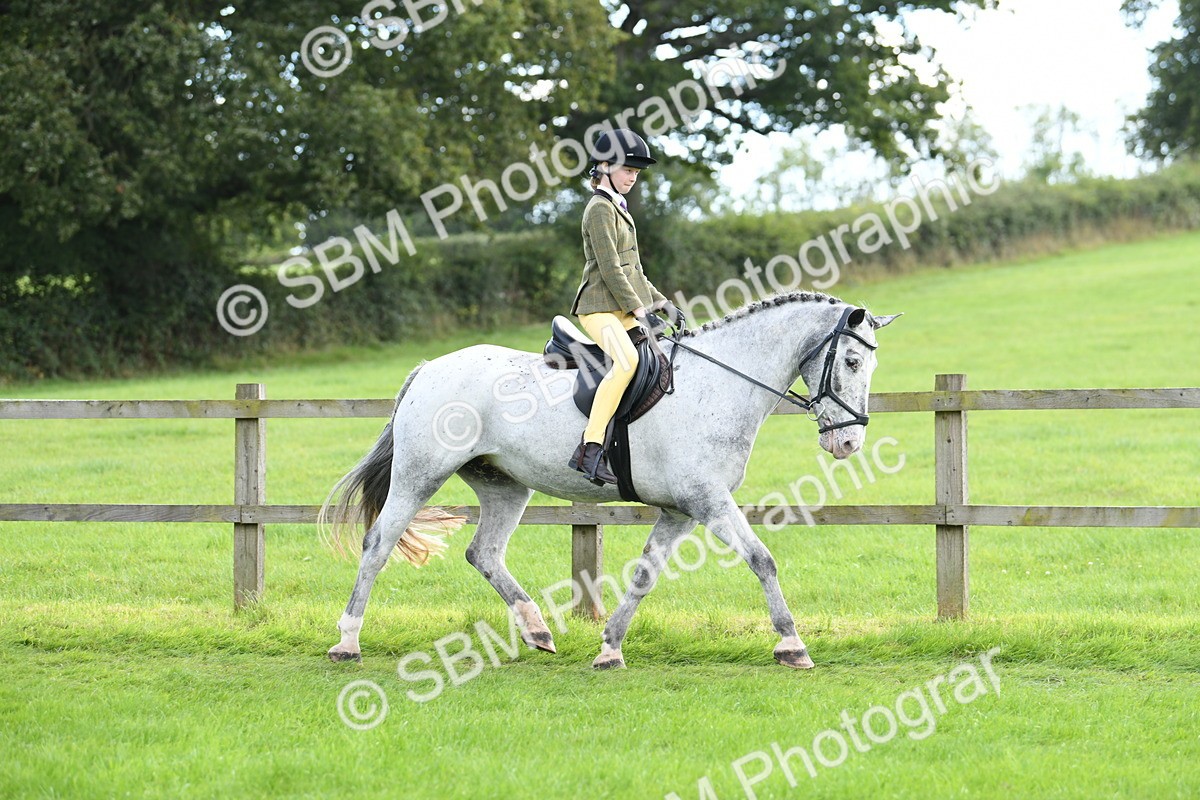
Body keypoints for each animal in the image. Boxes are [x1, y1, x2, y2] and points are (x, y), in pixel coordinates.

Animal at [320, 291, 899, 670]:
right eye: (851, 361)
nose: (848, 444)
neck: (721, 382)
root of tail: (429, 368)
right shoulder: (707, 501)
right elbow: (762, 559)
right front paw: (792, 645)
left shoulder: (680, 511)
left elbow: (644, 577)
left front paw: (609, 649)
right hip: (420, 475)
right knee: (378, 543)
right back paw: (347, 642)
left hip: (505, 485)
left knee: (483, 553)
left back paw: (538, 630)